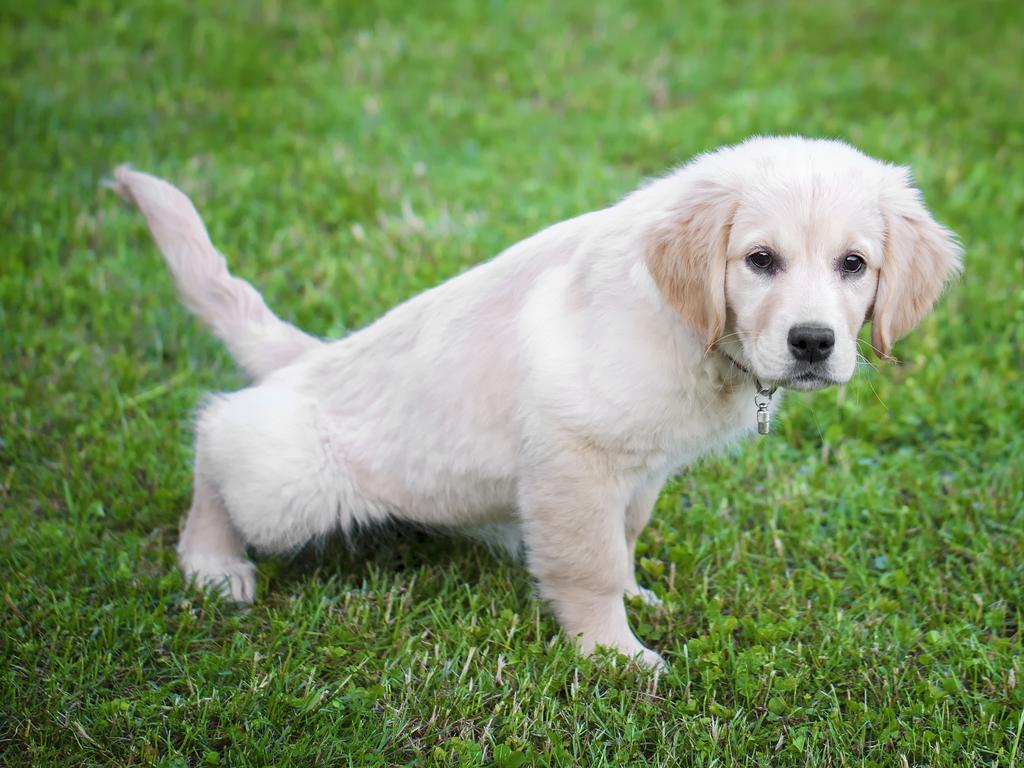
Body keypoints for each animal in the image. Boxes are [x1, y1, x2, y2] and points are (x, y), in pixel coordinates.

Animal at [112, 137, 958, 667]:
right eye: (760, 260)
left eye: (853, 264)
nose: (814, 342)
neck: (691, 328)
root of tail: (309, 359)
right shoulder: (573, 453)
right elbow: (587, 561)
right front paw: (614, 655)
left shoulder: (639, 468)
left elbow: (623, 537)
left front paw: (636, 596)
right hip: (295, 482)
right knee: (218, 433)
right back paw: (212, 562)